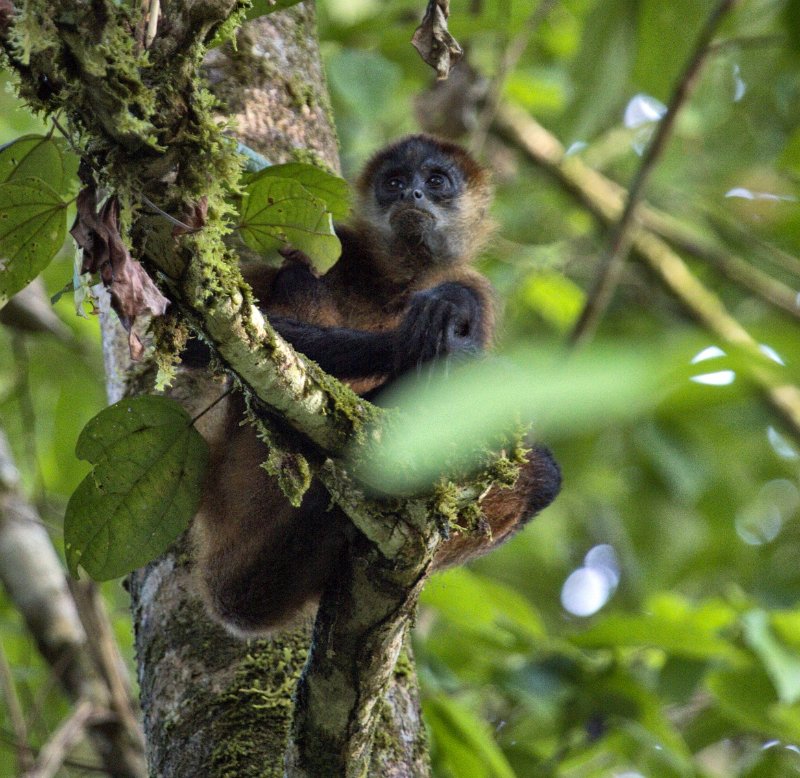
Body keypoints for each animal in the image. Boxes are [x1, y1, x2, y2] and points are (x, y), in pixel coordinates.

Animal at [188, 133, 564, 632]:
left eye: (436, 181)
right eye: (395, 182)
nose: (412, 195)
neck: (397, 282)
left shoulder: (476, 288)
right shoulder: (339, 245)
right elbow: (190, 335)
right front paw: (417, 343)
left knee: (543, 475)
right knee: (300, 274)